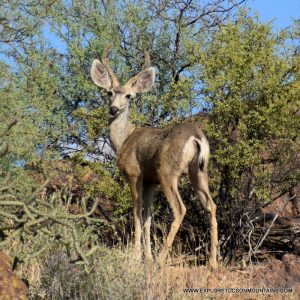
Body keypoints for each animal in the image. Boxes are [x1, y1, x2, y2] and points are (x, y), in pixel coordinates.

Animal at [89, 44, 218, 270]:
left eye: (129, 96)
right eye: (110, 92)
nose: (113, 109)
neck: (124, 139)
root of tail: (197, 137)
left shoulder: (135, 174)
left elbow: (136, 212)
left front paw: (136, 257)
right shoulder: (150, 181)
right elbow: (148, 216)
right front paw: (146, 257)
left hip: (168, 173)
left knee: (180, 209)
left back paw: (161, 259)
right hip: (199, 172)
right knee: (211, 206)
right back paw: (213, 263)